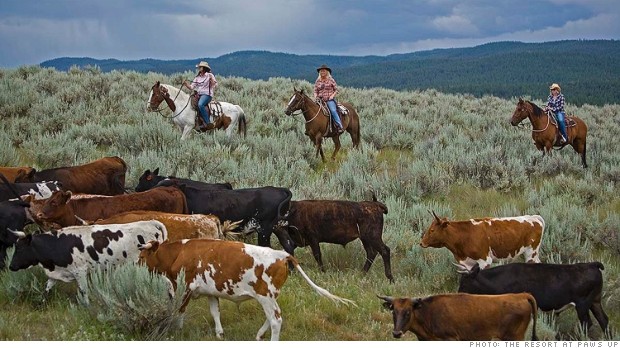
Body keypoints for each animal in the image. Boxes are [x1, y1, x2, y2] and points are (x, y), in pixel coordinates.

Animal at [9, 220, 168, 300]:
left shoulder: (79, 271)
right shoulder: (55, 273)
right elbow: (46, 290)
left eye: (20, 249)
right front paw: (41, 302)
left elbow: (83, 291)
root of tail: (151, 222)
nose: (11, 267)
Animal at [458, 262, 608, 334]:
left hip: (583, 304)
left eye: (464, 283)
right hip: (595, 302)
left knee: (587, 323)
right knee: (603, 320)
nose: (458, 294)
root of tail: (591, 264)